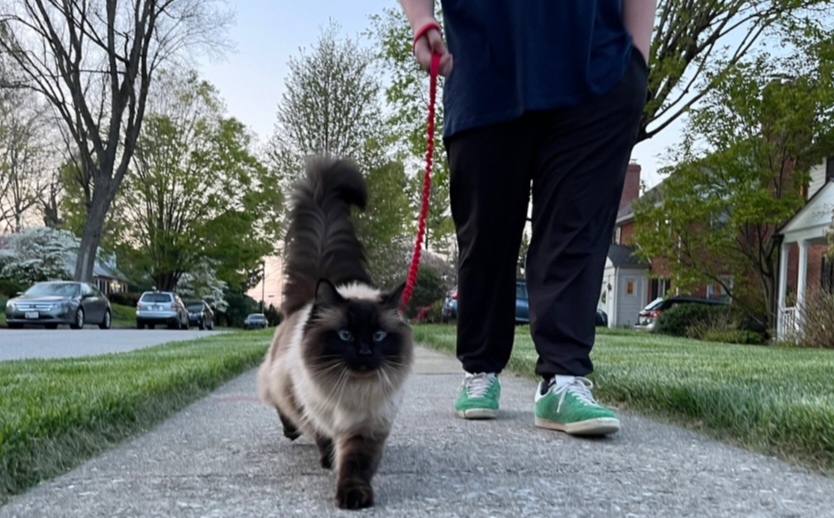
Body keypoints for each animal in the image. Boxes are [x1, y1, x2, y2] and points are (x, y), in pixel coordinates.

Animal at [257, 158, 414, 510]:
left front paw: (354, 497)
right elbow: (324, 439)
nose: (365, 352)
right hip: (281, 382)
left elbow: (356, 465)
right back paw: (296, 437)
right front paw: (329, 463)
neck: (353, 392)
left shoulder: (366, 427)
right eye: (344, 335)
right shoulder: (315, 410)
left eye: (379, 336)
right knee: (284, 411)